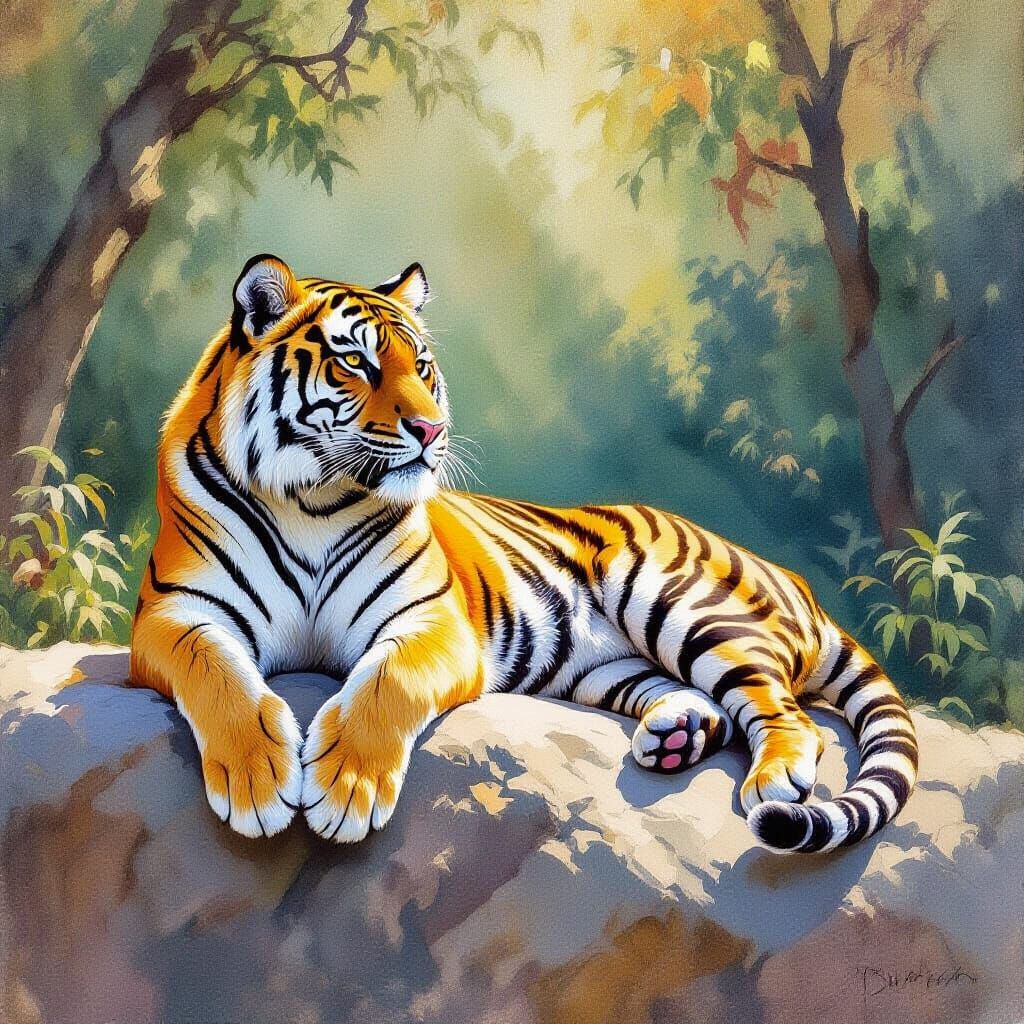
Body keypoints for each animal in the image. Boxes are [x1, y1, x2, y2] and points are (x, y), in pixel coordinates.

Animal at [130, 254, 919, 854]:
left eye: (422, 365)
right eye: (354, 362)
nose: (432, 428)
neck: (313, 502)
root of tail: (793, 579)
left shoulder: (431, 623)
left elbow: (385, 684)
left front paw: (345, 789)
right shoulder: (175, 615)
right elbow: (219, 679)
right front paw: (257, 781)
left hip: (678, 601)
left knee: (789, 713)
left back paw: (771, 779)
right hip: (601, 666)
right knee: (706, 702)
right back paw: (676, 737)